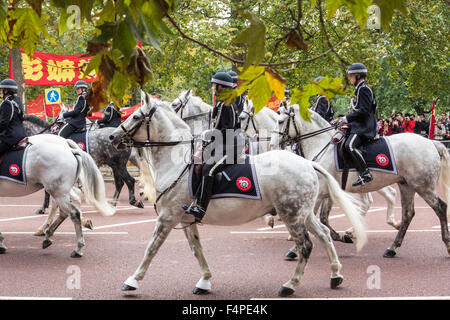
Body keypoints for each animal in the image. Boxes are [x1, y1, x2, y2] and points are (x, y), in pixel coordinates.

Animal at [110, 92, 370, 298]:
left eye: (136, 117)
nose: (112, 137)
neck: (176, 161)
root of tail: (306, 163)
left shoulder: (167, 217)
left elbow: (151, 249)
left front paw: (132, 281)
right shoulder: (184, 220)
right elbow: (197, 250)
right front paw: (205, 280)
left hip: (292, 216)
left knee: (306, 245)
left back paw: (290, 285)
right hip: (303, 214)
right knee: (324, 234)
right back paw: (335, 274)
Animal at [270, 105, 450, 258]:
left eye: (280, 121)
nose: (272, 145)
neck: (322, 146)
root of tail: (430, 142)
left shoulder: (321, 192)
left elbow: (312, 219)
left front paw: (294, 250)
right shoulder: (328, 192)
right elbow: (322, 218)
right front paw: (341, 236)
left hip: (423, 187)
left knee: (440, 207)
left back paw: (446, 244)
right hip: (407, 186)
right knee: (407, 214)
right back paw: (391, 248)